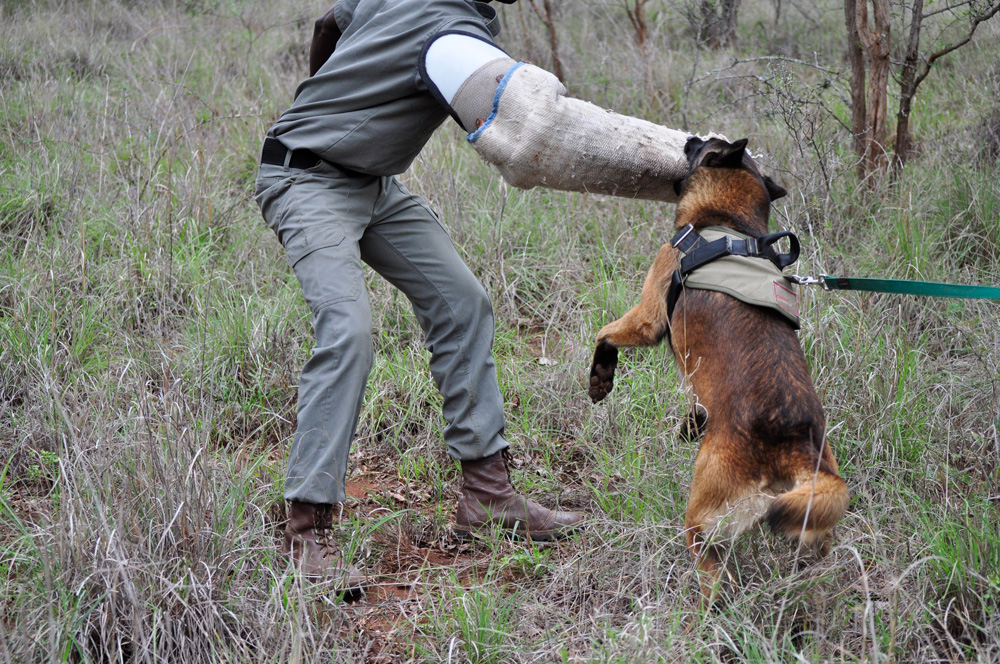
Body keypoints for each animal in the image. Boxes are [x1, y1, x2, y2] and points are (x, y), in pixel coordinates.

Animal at [584, 136, 852, 600]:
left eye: (705, 145)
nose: (689, 138)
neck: (731, 225)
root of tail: (794, 440)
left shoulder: (648, 316)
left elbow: (606, 332)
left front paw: (602, 375)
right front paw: (691, 422)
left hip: (705, 513)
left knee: (710, 565)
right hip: (812, 516)